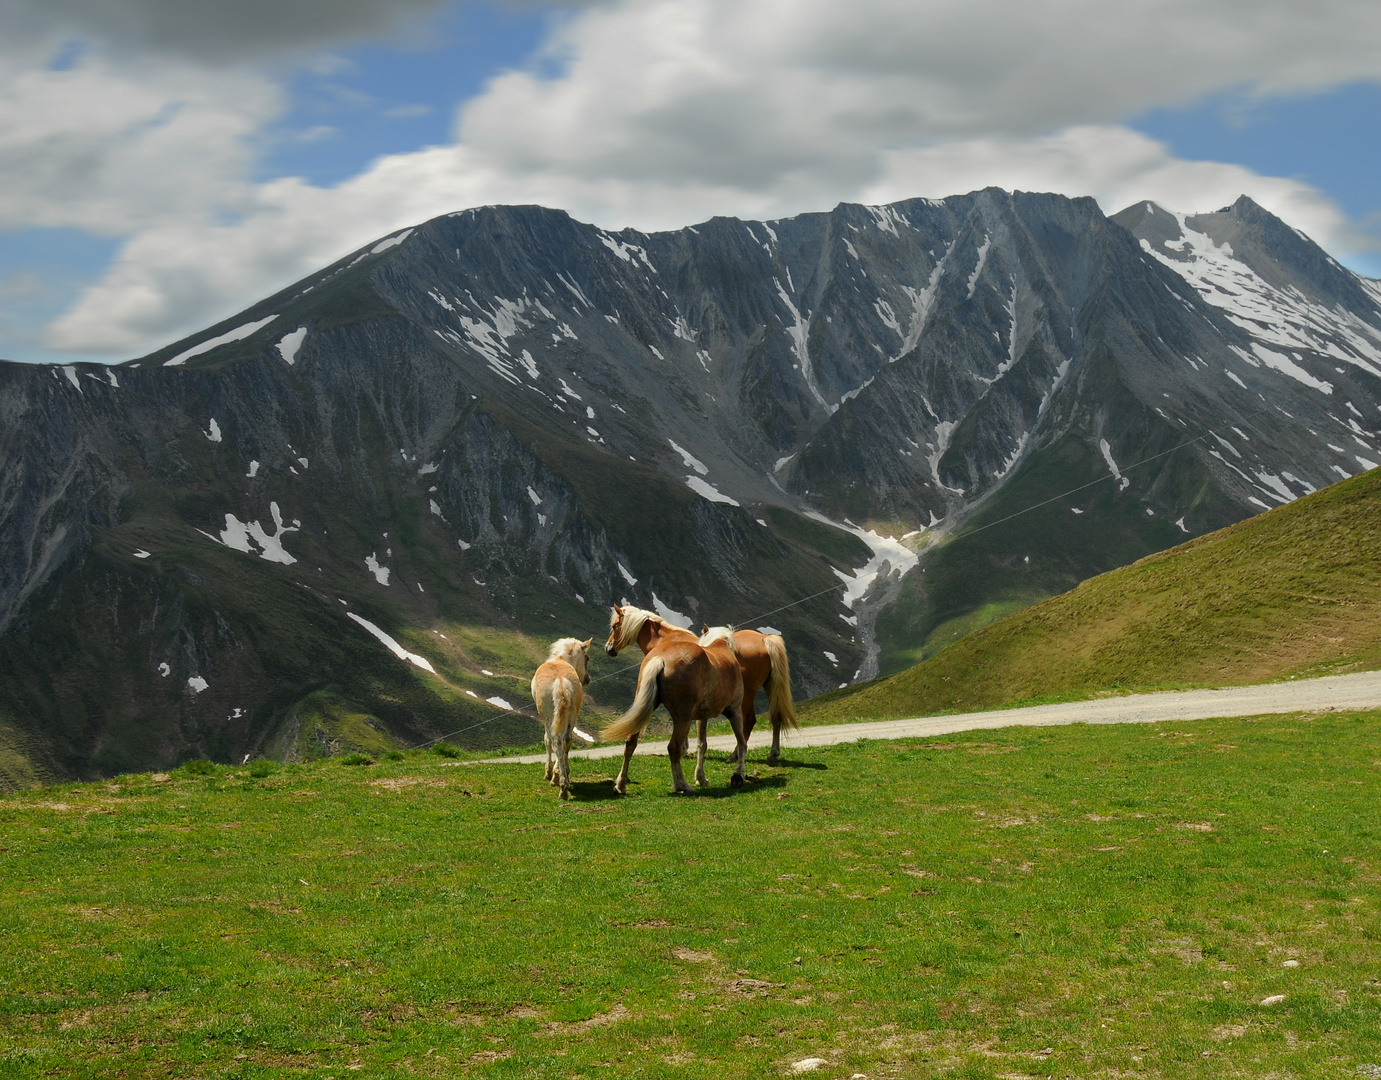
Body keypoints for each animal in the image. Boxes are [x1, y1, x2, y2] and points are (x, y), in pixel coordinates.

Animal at [530, 635, 591, 801]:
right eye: (587, 658)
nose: (587, 679)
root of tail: (561, 681)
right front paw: (562, 772)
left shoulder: (545, 719)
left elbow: (547, 740)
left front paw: (549, 773)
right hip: (572, 714)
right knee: (567, 740)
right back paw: (564, 778)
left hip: (550, 716)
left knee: (556, 741)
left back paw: (561, 786)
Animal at [602, 607, 745, 795]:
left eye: (614, 626)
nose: (608, 647)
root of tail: (661, 658)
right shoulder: (715, 713)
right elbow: (707, 744)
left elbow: (703, 744)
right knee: (671, 747)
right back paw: (681, 784)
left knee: (632, 743)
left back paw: (622, 785)